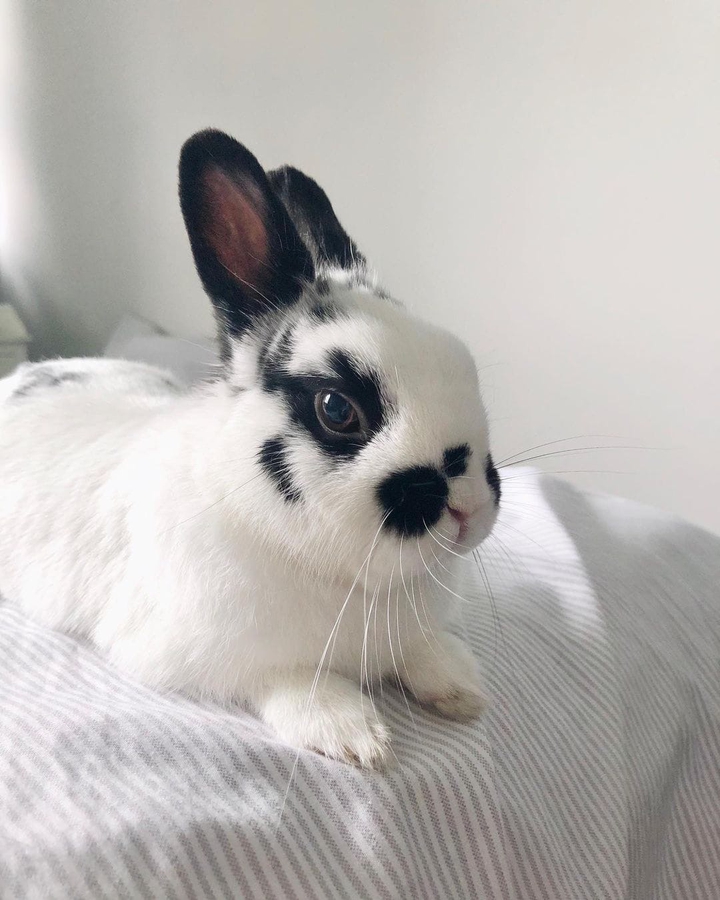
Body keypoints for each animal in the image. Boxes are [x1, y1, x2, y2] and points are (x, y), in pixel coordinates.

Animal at [0, 129, 501, 769]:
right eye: (337, 409)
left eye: (462, 361)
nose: (470, 508)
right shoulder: (208, 656)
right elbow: (290, 679)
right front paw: (354, 737)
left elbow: (425, 649)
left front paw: (462, 690)